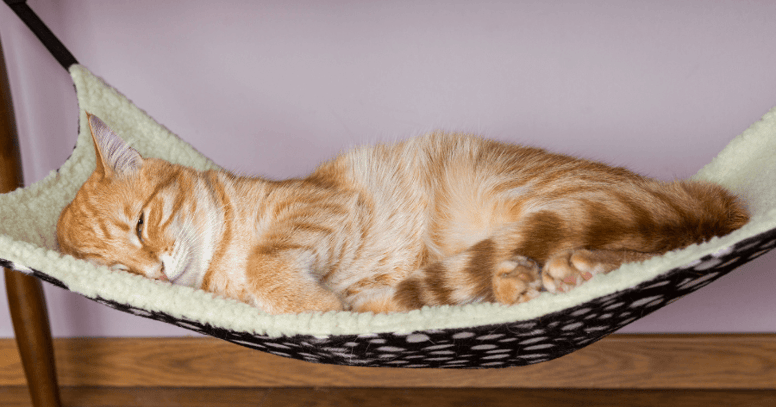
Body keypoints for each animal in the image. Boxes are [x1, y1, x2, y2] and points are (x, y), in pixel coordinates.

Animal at [53, 115, 744, 316]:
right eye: (122, 270)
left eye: (141, 223)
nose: (154, 273)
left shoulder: (322, 203)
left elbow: (268, 261)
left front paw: (314, 308)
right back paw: (534, 278)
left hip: (543, 198)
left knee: (665, 234)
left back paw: (568, 270)